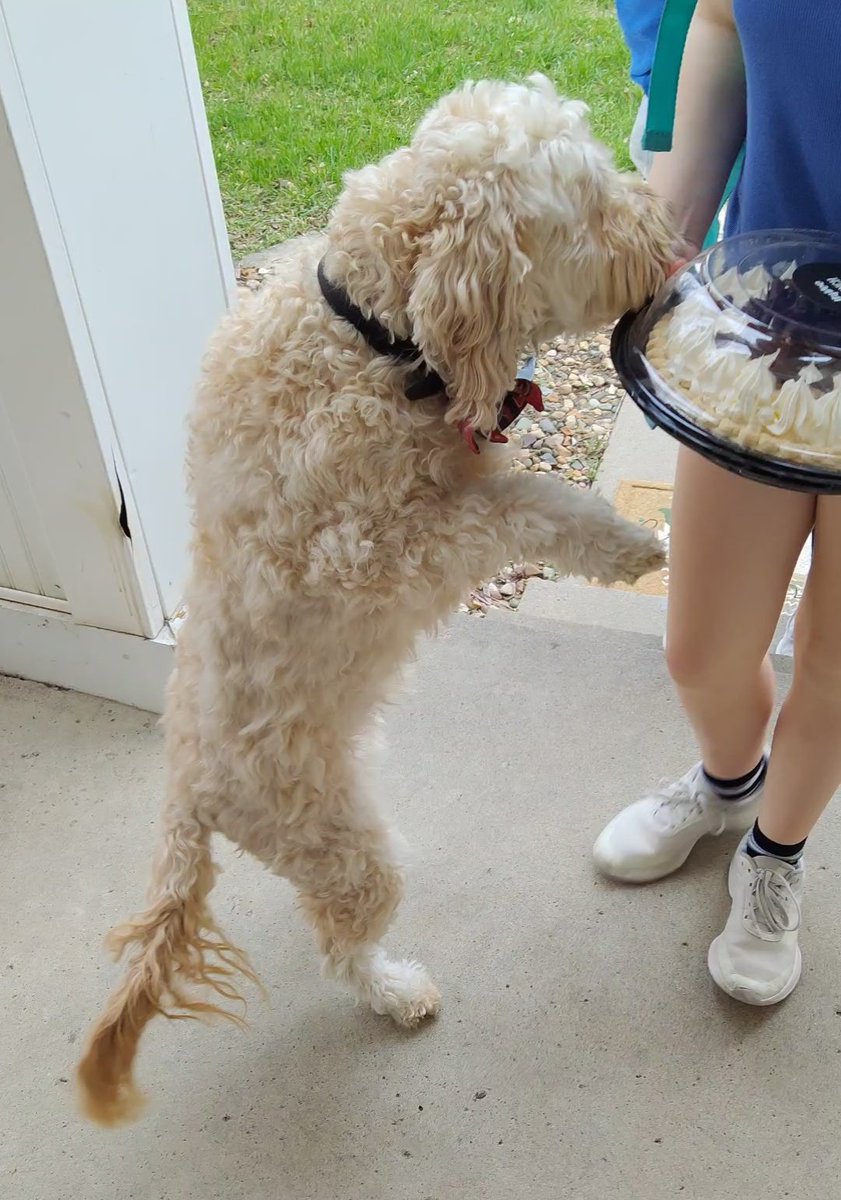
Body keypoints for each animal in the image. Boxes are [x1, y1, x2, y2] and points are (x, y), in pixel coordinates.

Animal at [75, 75, 671, 1123]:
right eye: (590, 203)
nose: (669, 233)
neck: (365, 335)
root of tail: (186, 794)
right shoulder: (378, 548)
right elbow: (519, 506)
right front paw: (627, 544)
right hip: (339, 844)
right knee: (342, 948)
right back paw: (395, 990)